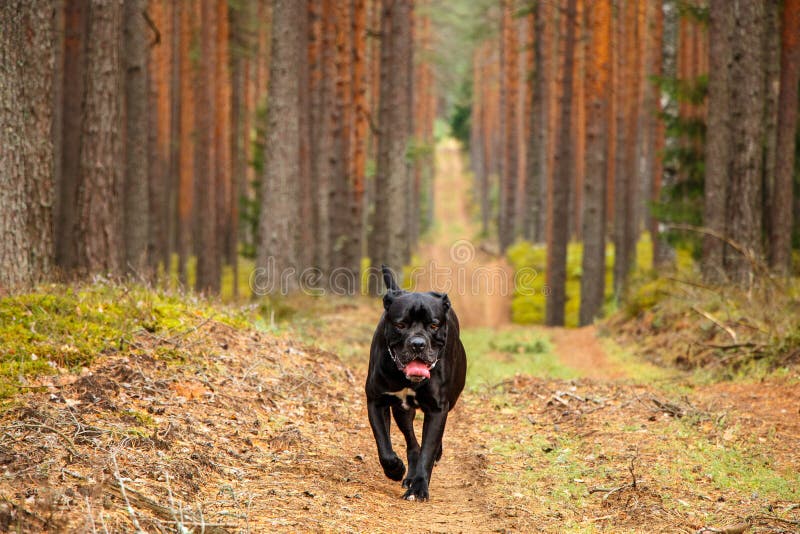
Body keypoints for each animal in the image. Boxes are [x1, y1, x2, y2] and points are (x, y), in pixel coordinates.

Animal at [364, 264, 466, 502]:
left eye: (434, 325)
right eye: (400, 324)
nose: (418, 344)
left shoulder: (438, 409)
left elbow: (428, 450)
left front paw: (419, 488)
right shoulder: (376, 401)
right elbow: (384, 444)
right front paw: (395, 469)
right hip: (402, 411)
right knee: (412, 443)